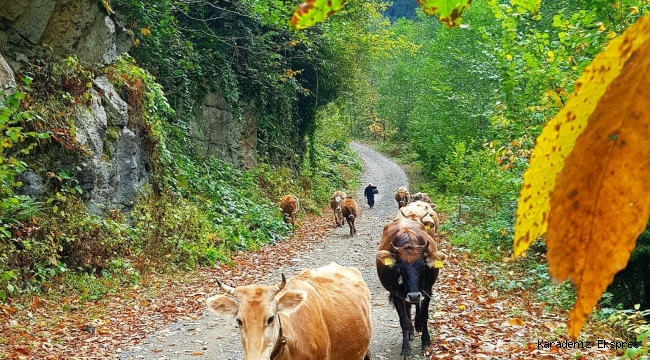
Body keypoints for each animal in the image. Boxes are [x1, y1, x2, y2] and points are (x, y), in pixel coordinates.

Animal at [374, 219, 446, 358]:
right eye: (400, 267)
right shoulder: (396, 294)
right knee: (408, 308)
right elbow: (404, 321)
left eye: (422, 266)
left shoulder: (427, 291)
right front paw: (406, 348)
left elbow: (424, 316)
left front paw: (426, 341)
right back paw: (412, 331)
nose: (413, 295)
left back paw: (417, 325)